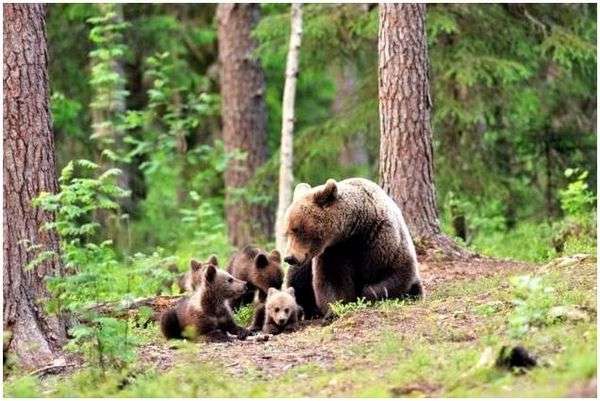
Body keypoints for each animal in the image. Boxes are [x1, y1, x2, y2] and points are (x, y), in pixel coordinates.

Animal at [284, 177, 424, 316]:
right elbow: (332, 279)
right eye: (287, 231)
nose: (289, 257)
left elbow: (397, 273)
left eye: (297, 230)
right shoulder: (335, 251)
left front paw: (366, 294)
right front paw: (335, 309)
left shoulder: (383, 239)